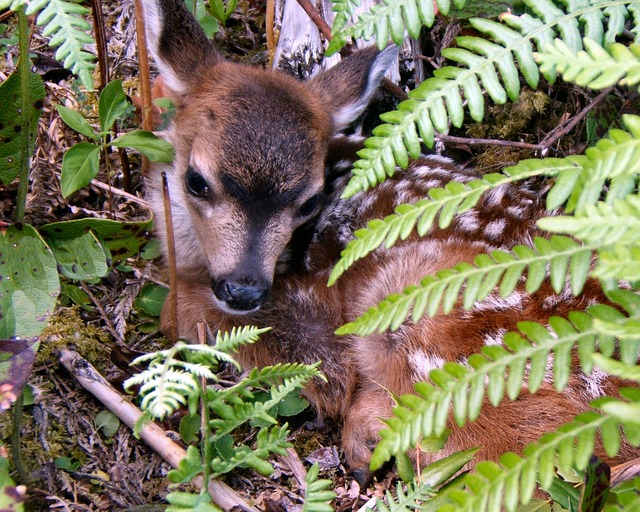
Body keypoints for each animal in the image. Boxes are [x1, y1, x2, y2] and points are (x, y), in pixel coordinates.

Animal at [142, 0, 636, 484]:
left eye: (309, 202)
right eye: (196, 181)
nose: (243, 289)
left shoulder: (321, 326)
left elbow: (183, 312)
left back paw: (365, 442)